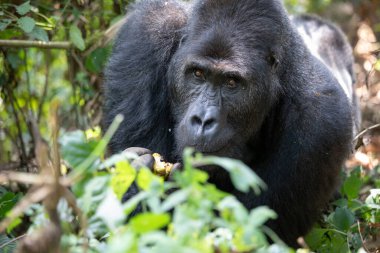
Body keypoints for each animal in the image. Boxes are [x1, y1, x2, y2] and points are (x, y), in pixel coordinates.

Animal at [103, 0, 356, 246]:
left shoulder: (322, 125)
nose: (203, 120)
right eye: (197, 74)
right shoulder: (144, 36)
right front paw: (134, 178)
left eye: (232, 83)